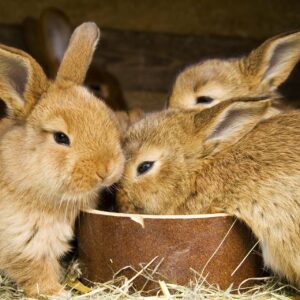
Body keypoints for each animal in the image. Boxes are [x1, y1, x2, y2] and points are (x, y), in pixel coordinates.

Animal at [0, 22, 124, 296]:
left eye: (106, 116)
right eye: (60, 137)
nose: (106, 169)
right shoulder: (25, 242)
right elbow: (36, 272)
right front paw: (57, 292)